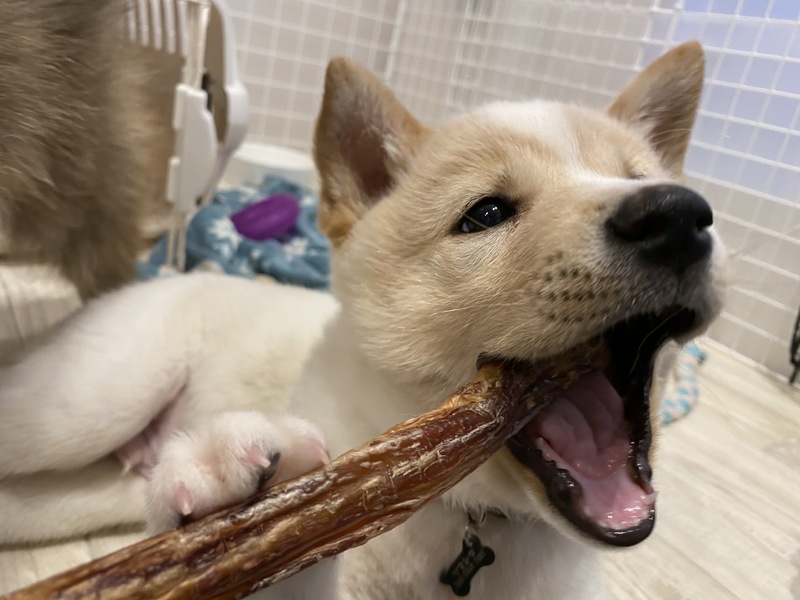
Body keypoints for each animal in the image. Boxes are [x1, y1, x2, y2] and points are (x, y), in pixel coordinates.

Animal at [0, 41, 726, 599]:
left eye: (639, 177)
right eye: (486, 214)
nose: (677, 215)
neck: (475, 517)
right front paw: (252, 496)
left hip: (87, 493)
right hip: (85, 408)